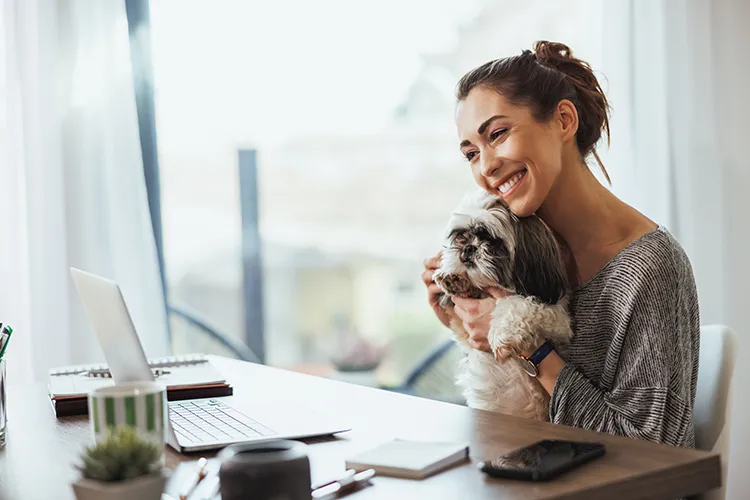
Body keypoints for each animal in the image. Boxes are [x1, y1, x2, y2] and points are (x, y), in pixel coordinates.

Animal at [434, 189, 576, 420]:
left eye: (492, 241)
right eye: (461, 236)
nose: (468, 249)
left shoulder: (559, 321)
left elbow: (517, 304)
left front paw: (501, 334)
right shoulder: (466, 336)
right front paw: (455, 279)